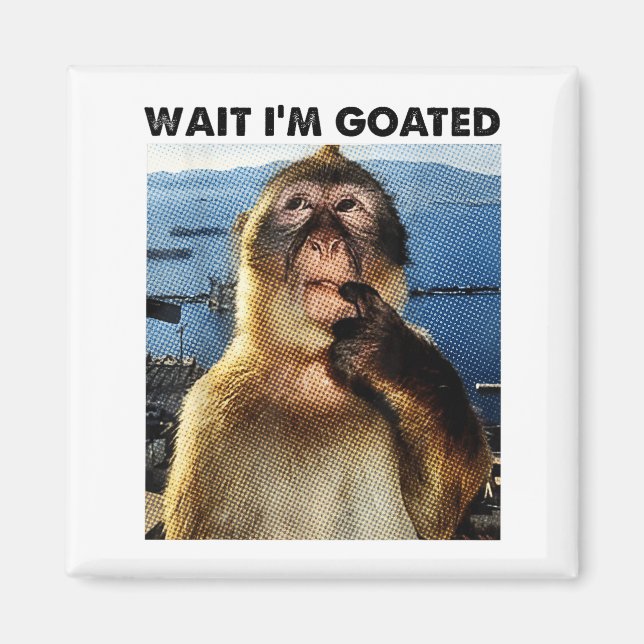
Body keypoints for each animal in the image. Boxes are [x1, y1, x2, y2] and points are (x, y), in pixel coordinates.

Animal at [162, 145, 492, 540]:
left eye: (348, 205)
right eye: (299, 204)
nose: (326, 241)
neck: (311, 365)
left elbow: (432, 517)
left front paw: (391, 355)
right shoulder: (210, 411)